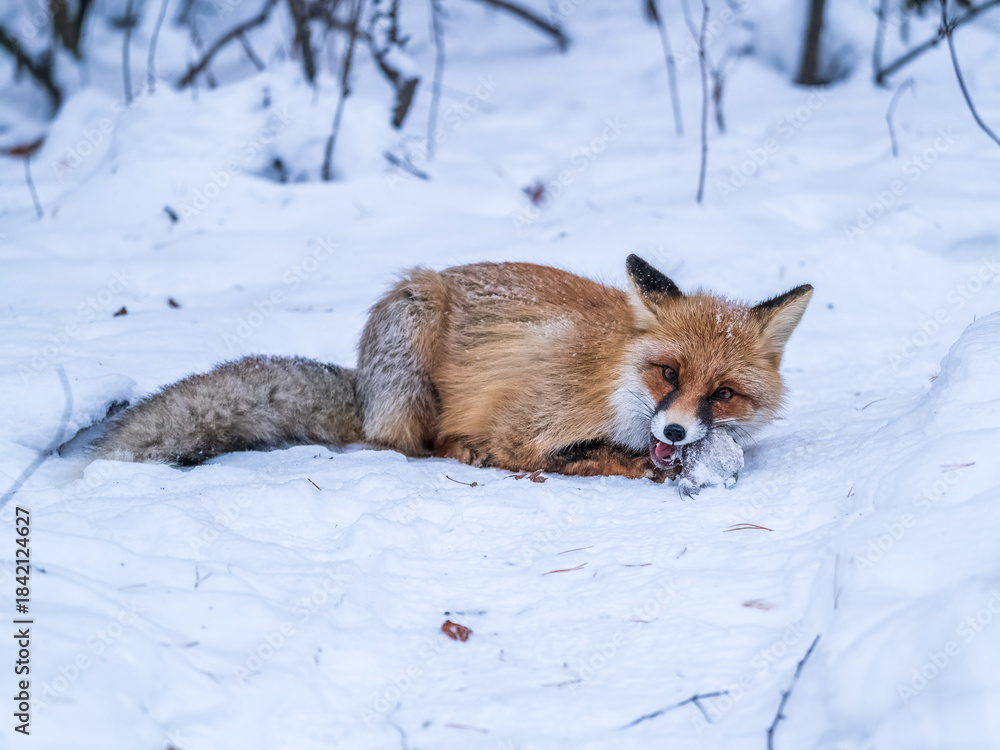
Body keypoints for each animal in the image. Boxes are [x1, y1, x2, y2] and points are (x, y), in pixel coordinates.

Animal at [93, 255, 812, 482]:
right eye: (667, 375)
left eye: (724, 393)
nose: (675, 434)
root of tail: (363, 390)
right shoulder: (523, 425)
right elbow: (574, 456)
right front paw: (633, 464)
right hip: (414, 314)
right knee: (416, 445)